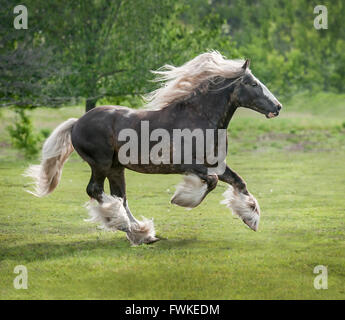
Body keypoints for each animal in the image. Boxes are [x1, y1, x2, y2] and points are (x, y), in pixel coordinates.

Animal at [25, 50, 280, 245]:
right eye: (253, 83)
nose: (277, 107)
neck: (199, 119)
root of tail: (77, 122)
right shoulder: (187, 164)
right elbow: (212, 182)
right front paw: (182, 199)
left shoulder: (216, 164)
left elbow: (239, 182)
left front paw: (251, 219)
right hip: (101, 164)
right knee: (96, 191)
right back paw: (128, 227)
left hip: (116, 168)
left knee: (119, 197)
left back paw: (142, 234)